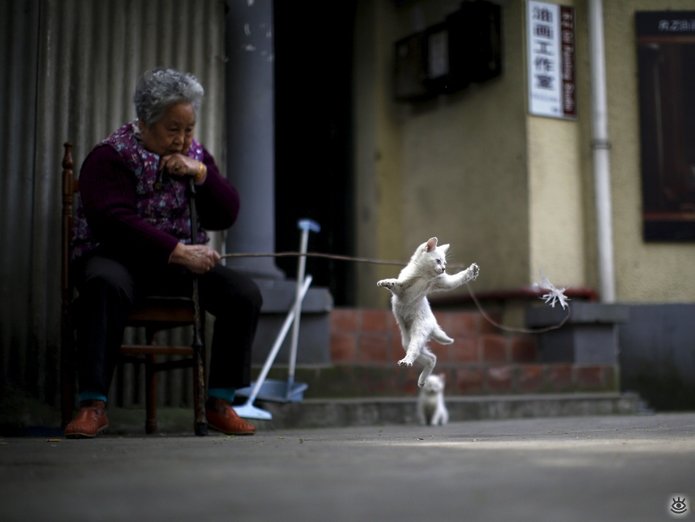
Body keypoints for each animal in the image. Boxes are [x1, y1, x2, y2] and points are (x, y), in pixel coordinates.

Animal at [377, 236, 479, 387]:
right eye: (438, 260)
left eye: (445, 263)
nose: (444, 268)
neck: (425, 275)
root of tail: (433, 325)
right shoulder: (402, 289)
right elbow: (395, 282)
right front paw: (386, 282)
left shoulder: (443, 282)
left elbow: (458, 278)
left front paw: (471, 272)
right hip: (407, 341)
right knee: (430, 357)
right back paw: (419, 376)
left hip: (418, 332)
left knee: (420, 353)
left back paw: (410, 366)